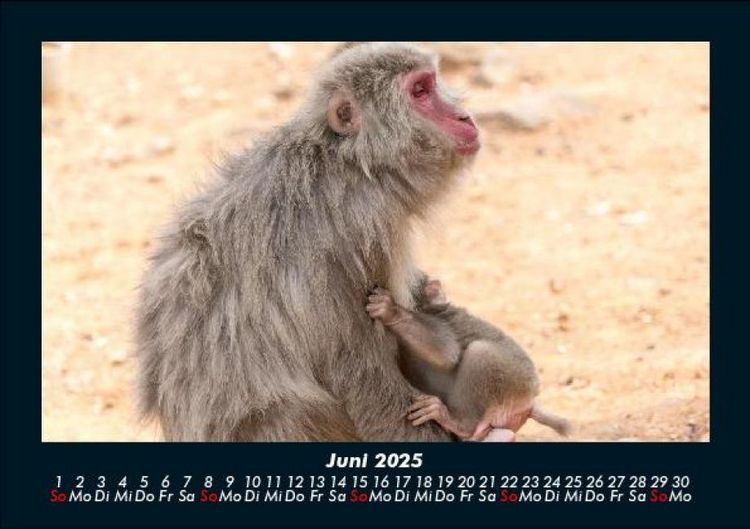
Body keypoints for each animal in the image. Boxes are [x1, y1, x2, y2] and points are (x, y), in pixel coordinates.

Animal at [135, 43, 482, 441]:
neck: (350, 163)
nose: (464, 116)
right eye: (420, 91)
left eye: (433, 83)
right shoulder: (360, 233)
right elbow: (360, 374)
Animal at [366, 279, 571, 442]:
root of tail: (530, 401)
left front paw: (391, 311)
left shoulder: (442, 320)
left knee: (481, 353)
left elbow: (446, 352)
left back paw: (458, 423)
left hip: (515, 379)